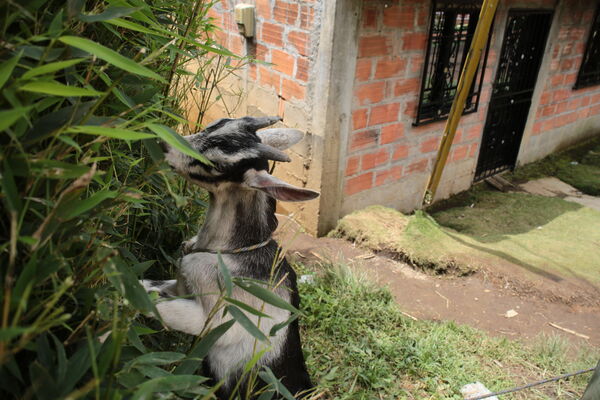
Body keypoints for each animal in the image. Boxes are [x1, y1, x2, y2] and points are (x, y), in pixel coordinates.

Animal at [141, 115, 318, 400]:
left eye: (218, 165)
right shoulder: (182, 286)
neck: (232, 253)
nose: (162, 140)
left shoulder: (214, 320)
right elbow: (151, 286)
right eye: (215, 124)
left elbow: (158, 305)